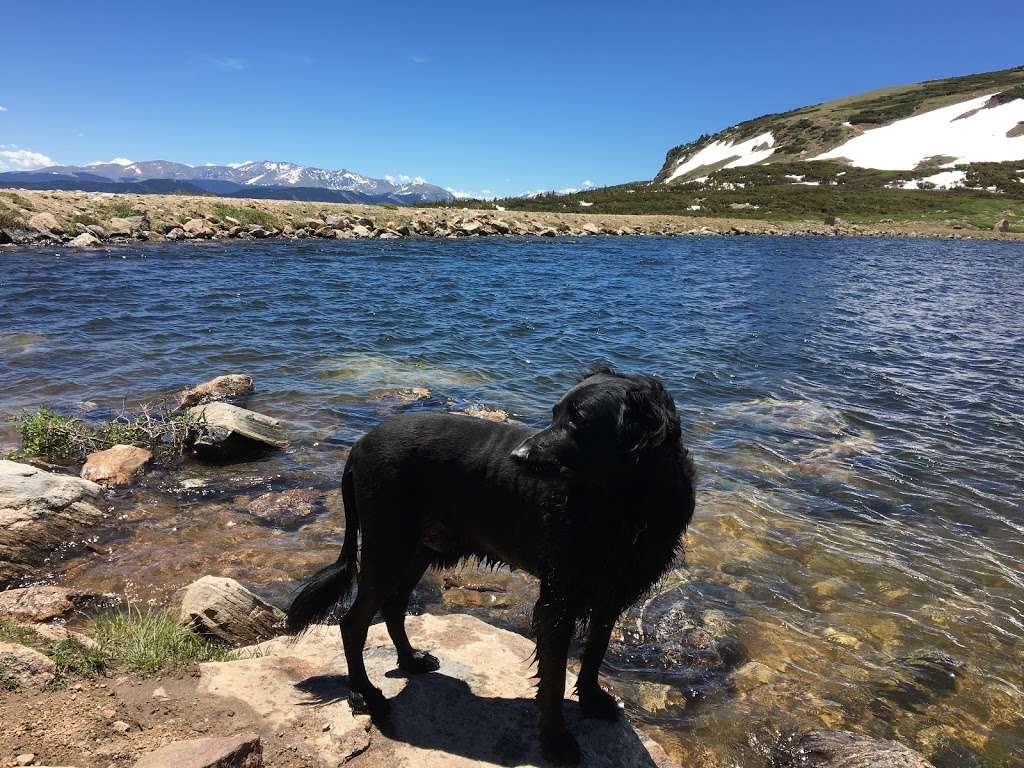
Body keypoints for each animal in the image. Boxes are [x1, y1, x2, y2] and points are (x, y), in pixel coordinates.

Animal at [288, 368, 696, 765]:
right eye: (554, 413)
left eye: (577, 420)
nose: (518, 456)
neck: (624, 506)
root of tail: (359, 445)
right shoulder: (559, 598)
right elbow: (554, 678)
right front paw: (556, 740)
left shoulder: (612, 593)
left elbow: (595, 651)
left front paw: (592, 699)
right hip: (388, 548)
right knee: (353, 623)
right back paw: (365, 694)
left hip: (418, 550)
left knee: (393, 607)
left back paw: (410, 660)